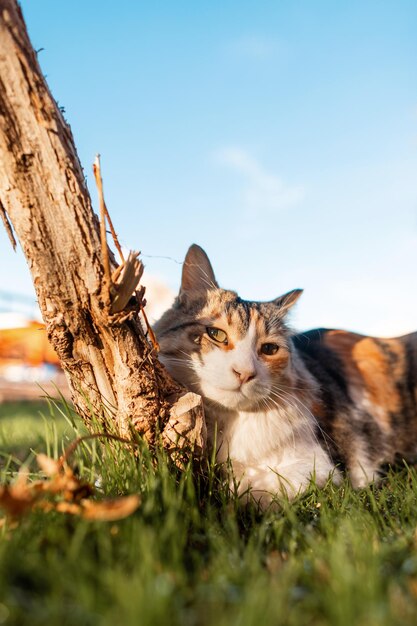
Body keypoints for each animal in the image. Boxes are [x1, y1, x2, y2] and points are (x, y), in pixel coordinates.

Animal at [153, 244, 416, 508]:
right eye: (216, 334)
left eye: (269, 349)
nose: (245, 373)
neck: (229, 423)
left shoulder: (321, 467)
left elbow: (249, 491)